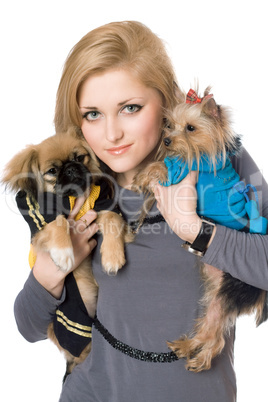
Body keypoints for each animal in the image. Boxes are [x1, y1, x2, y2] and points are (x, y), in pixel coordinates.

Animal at [1, 128, 133, 376]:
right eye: (53, 171)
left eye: (79, 158)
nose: (71, 169)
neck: (72, 199)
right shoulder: (42, 225)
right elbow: (59, 222)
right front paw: (64, 254)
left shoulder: (101, 205)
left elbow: (112, 220)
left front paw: (112, 256)